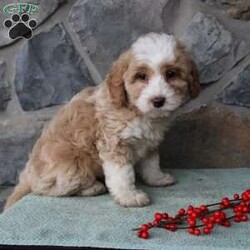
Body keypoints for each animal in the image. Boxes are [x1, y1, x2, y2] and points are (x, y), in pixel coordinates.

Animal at [4, 32, 200, 209]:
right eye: (141, 76)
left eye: (171, 74)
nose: (158, 100)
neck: (137, 111)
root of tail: (28, 174)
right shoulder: (114, 142)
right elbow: (122, 175)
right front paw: (129, 197)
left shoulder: (149, 142)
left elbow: (151, 163)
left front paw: (157, 179)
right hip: (73, 167)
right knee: (50, 189)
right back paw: (93, 188)